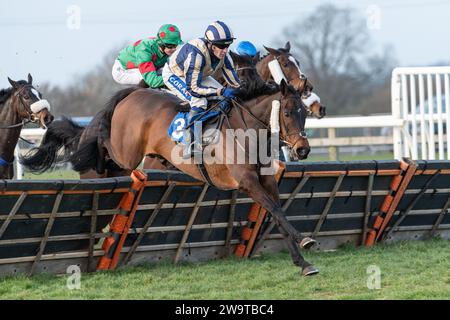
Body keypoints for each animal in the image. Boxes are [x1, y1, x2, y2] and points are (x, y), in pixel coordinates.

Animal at [20, 61, 316, 276]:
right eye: (287, 112)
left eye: (304, 113)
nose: (303, 149)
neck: (247, 131)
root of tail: (135, 92)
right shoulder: (247, 182)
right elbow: (275, 210)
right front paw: (305, 241)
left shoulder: (267, 181)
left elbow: (277, 212)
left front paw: (303, 262)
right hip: (125, 152)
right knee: (101, 143)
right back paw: (86, 155)